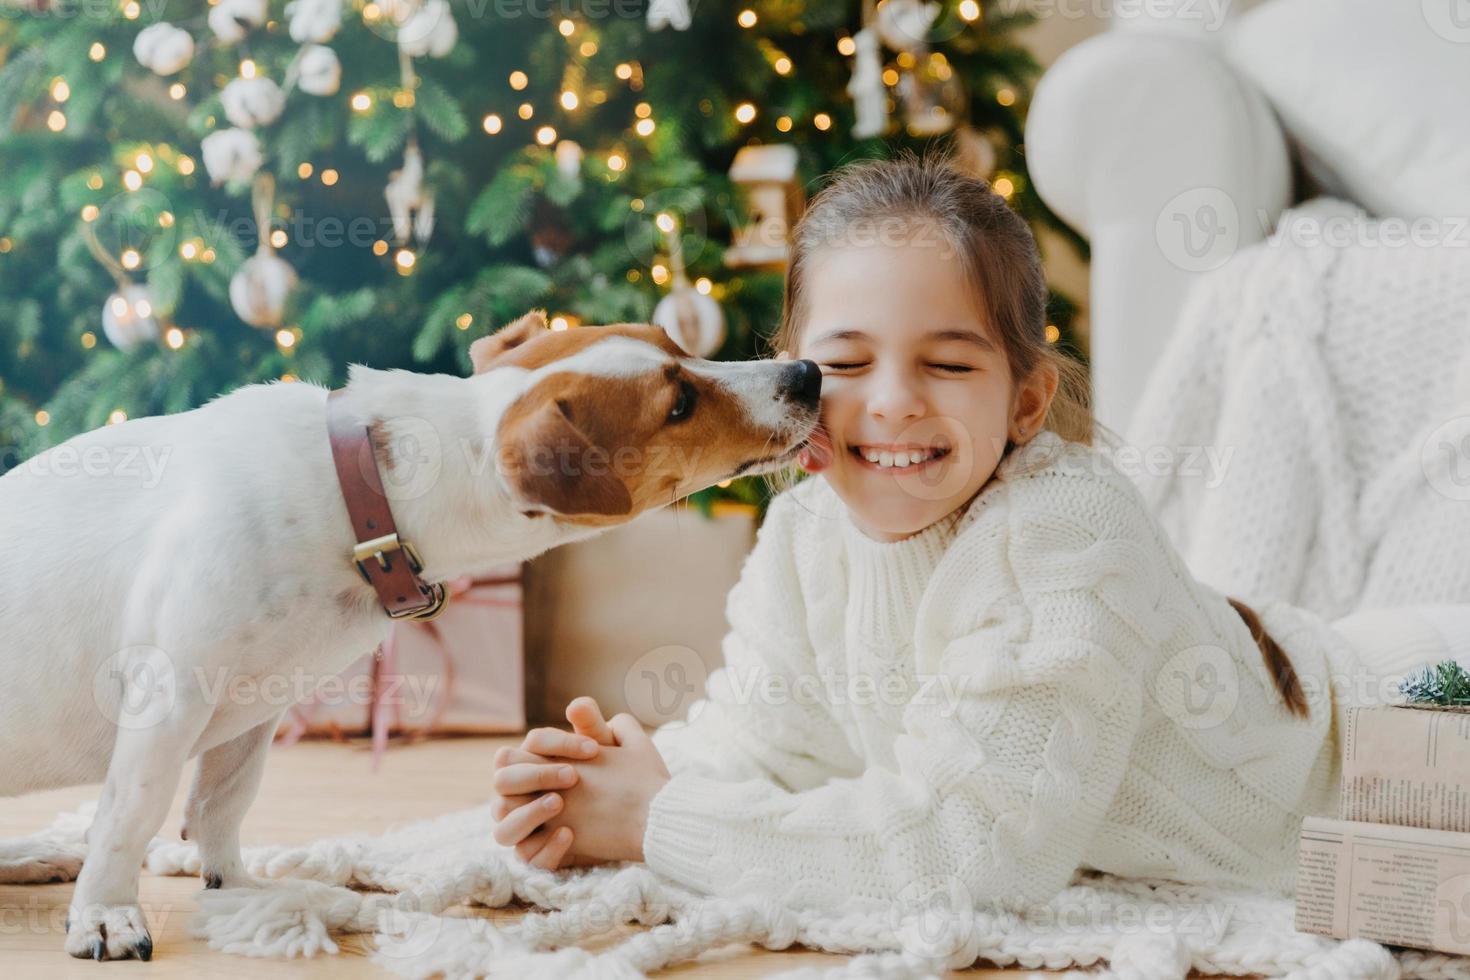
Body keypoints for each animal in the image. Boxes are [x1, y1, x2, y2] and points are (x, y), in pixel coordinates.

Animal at [0, 312, 829, 957]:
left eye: (678, 342)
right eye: (680, 401)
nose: (808, 372)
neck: (367, 500)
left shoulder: (252, 712)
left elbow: (219, 807)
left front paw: (237, 890)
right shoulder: (170, 695)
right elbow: (128, 815)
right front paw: (106, 913)